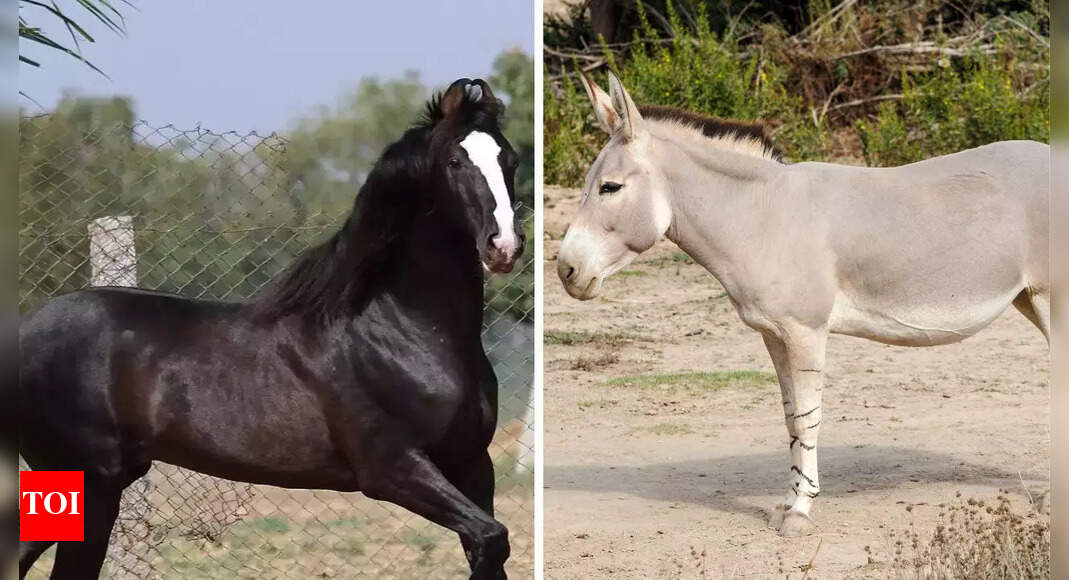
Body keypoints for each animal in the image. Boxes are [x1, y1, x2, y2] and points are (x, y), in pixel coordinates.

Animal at [18, 78, 525, 579]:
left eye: (510, 159)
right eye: (455, 161)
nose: (503, 246)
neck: (401, 333)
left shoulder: (472, 464)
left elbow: (488, 546)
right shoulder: (393, 469)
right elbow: (492, 537)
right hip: (90, 487)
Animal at [556, 71, 1048, 537]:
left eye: (609, 188)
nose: (565, 270)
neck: (762, 216)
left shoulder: (805, 331)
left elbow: (810, 418)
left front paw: (800, 512)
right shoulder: (773, 334)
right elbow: (791, 417)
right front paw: (787, 502)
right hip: (1028, 300)